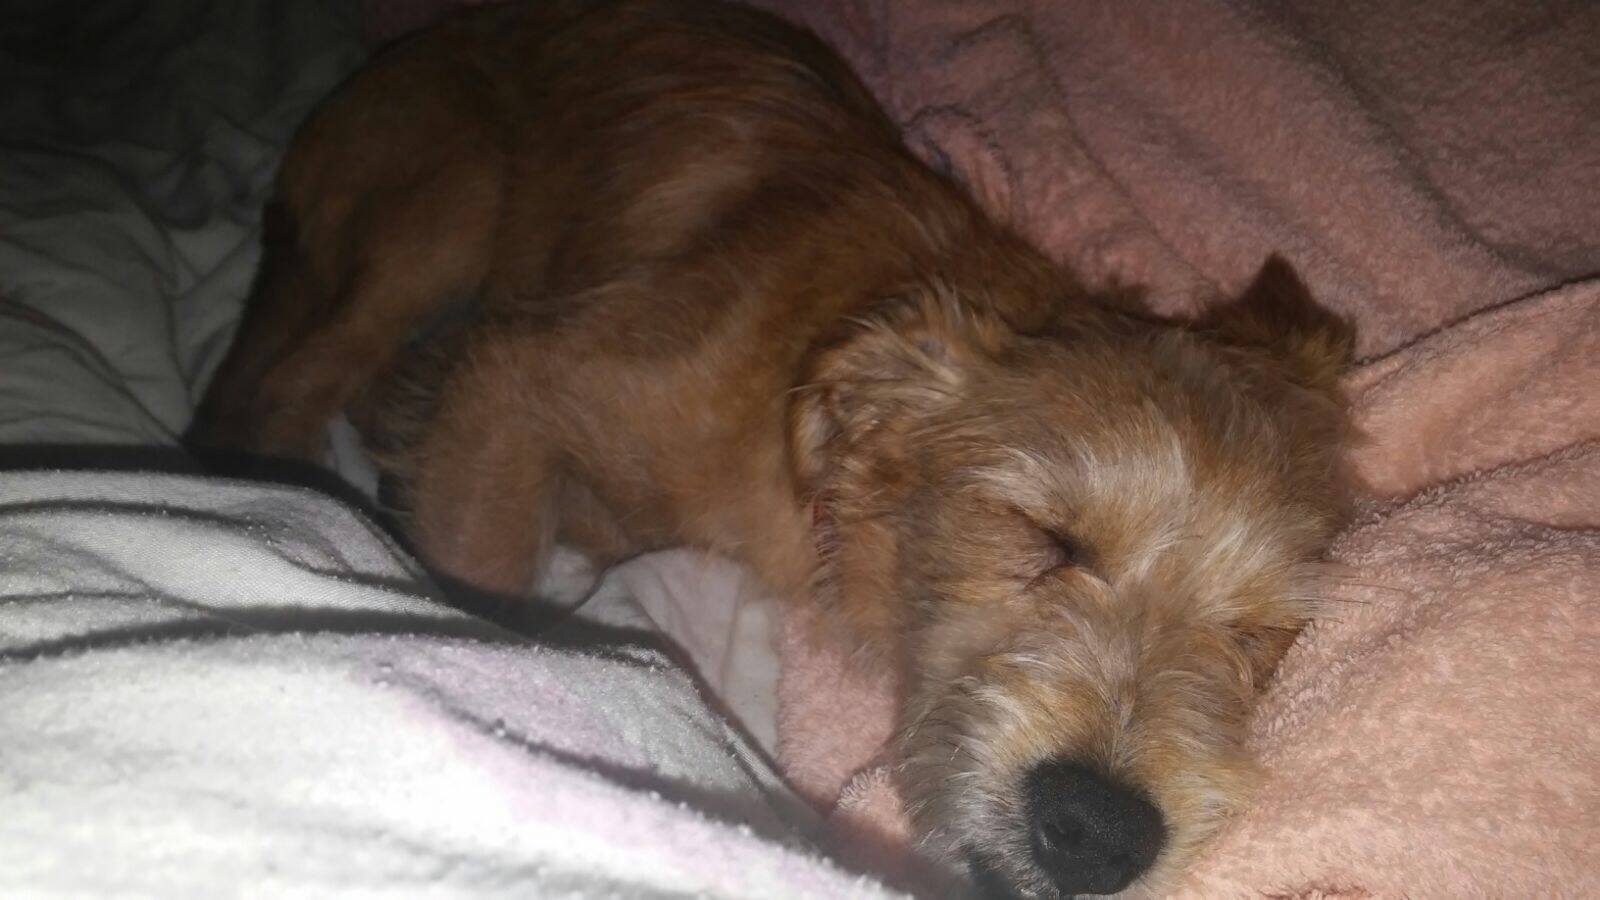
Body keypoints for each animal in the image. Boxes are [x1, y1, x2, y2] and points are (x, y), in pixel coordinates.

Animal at [189, 0, 1353, 895]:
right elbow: (483, 583)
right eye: (1046, 536)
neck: (811, 471)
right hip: (444, 204)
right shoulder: (517, 387)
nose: (1100, 837)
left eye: (1258, 636)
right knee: (283, 391)